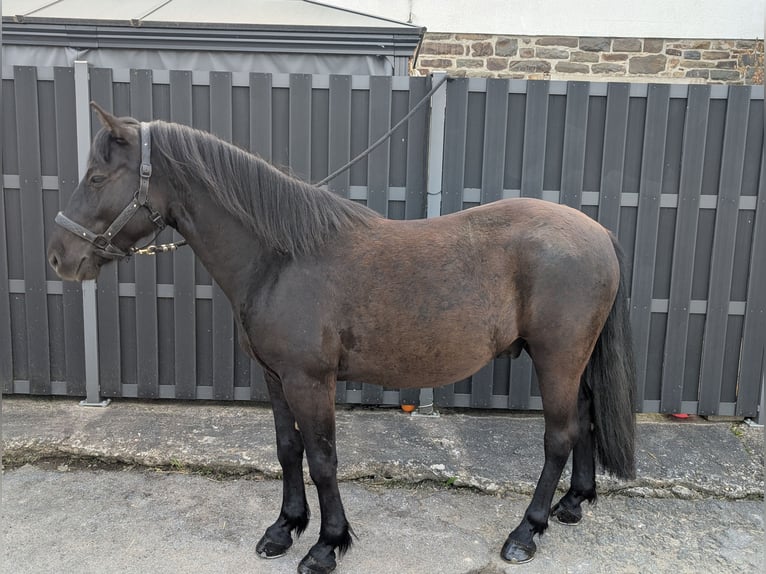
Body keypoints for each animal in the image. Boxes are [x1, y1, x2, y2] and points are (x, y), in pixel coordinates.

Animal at [47, 103, 636, 574]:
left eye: (97, 177)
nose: (59, 258)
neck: (281, 259)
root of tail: (600, 233)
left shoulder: (310, 381)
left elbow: (323, 457)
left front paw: (327, 545)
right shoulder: (276, 378)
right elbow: (288, 450)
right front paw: (284, 528)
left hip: (556, 358)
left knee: (559, 436)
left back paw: (526, 531)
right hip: (574, 361)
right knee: (584, 418)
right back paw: (573, 504)